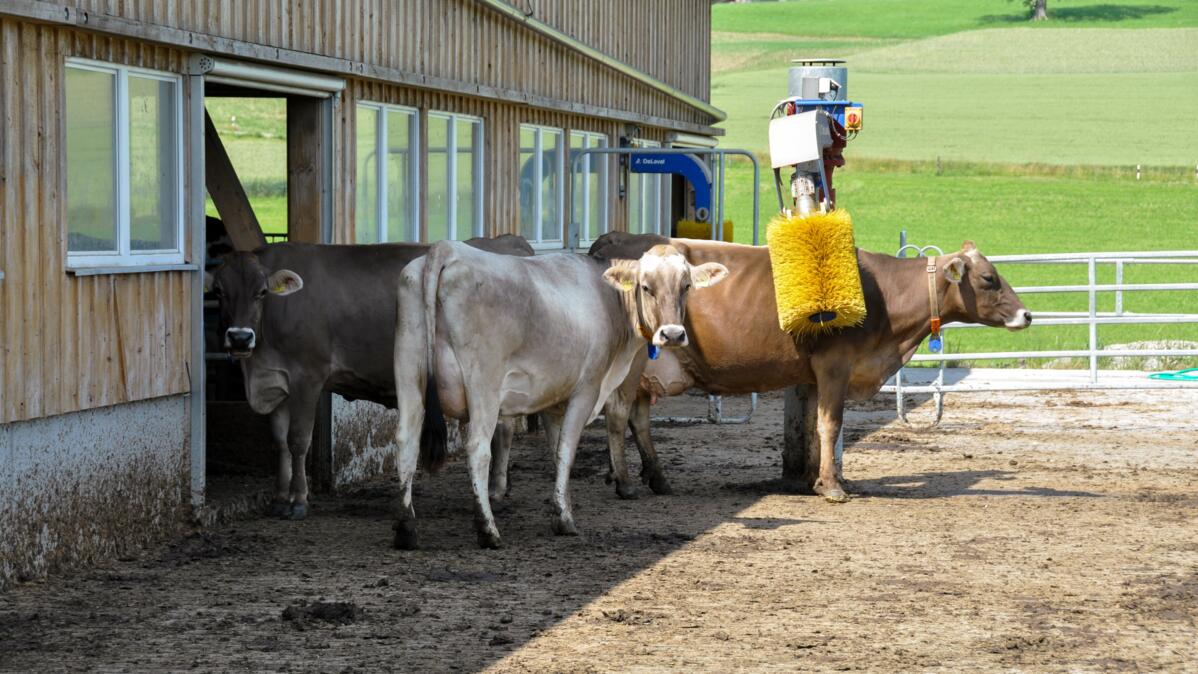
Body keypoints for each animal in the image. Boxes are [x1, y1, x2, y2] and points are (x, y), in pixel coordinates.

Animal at [206, 235, 534, 520]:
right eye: (218, 292)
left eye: (261, 292)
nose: (239, 337)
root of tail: (504, 241)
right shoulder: (276, 381)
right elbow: (279, 442)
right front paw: (278, 499)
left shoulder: (308, 376)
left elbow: (298, 440)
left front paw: (298, 501)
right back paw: (497, 488)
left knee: (503, 429)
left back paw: (495, 489)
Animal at [391, 241, 730, 549]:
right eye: (646, 287)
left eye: (686, 285)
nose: (672, 334)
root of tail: (447, 249)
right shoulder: (586, 389)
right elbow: (567, 450)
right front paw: (565, 519)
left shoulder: (552, 400)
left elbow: (556, 451)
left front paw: (560, 504)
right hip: (483, 383)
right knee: (477, 449)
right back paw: (487, 530)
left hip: (409, 373)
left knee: (406, 443)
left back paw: (406, 529)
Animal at [589, 233, 1031, 502]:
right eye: (989, 278)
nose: (1027, 315)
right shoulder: (836, 366)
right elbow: (831, 424)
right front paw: (834, 486)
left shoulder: (818, 374)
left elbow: (819, 428)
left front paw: (820, 479)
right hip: (633, 363)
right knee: (619, 414)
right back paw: (625, 481)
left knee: (638, 418)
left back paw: (657, 478)